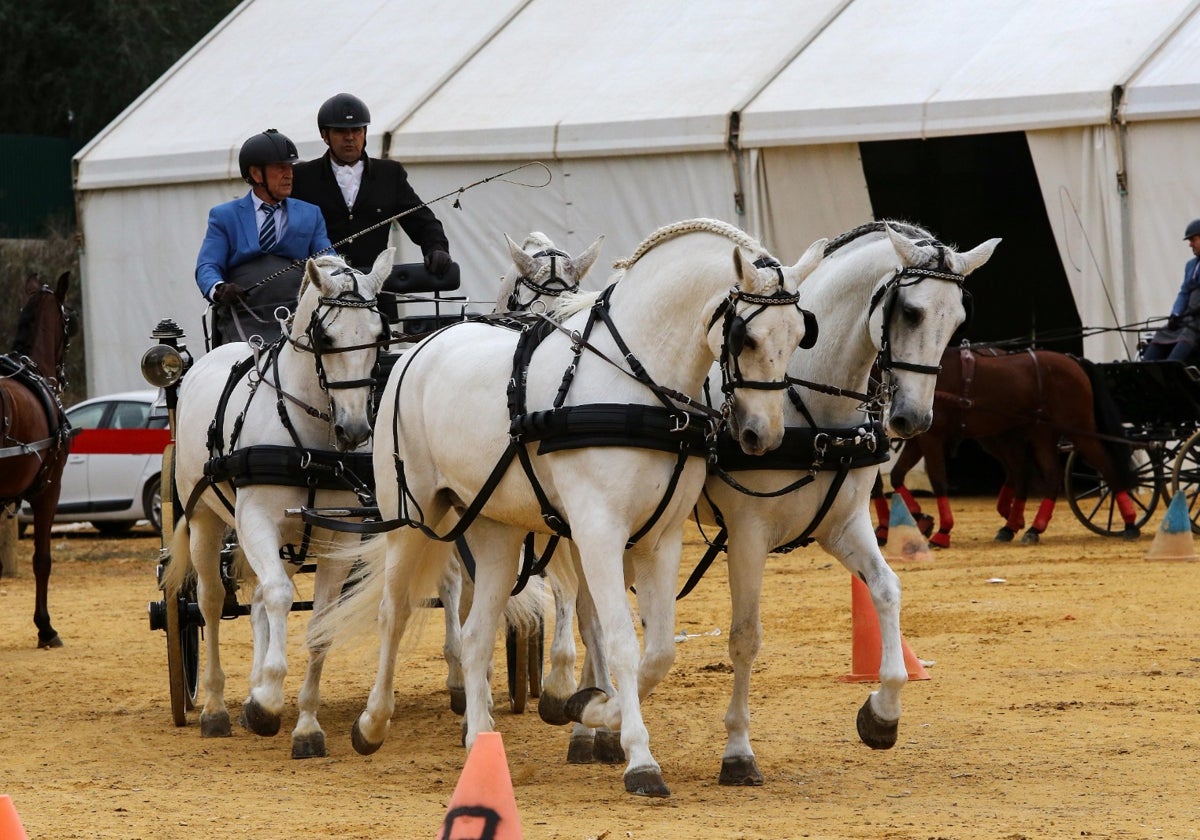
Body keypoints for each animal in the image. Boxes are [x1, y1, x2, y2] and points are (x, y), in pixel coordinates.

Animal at [159, 246, 391, 758]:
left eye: (380, 335)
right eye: (325, 335)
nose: (354, 430)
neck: (310, 441)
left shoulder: (336, 538)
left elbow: (319, 623)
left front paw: (305, 725)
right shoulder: (256, 521)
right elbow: (279, 597)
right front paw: (265, 703)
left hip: (286, 540)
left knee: (265, 596)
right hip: (206, 520)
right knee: (211, 601)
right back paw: (217, 707)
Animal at [314, 219, 830, 796]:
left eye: (800, 334)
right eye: (748, 337)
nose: (763, 435)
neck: (636, 384)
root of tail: (421, 345)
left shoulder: (660, 538)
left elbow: (659, 651)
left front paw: (591, 709)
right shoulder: (598, 532)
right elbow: (621, 642)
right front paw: (639, 759)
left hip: (495, 531)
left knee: (474, 634)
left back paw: (479, 742)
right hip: (411, 518)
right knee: (394, 613)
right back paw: (371, 724)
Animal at [873, 345, 1132, 547]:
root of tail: (1072, 359)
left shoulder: (931, 438)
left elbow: (937, 480)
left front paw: (942, 531)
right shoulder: (918, 439)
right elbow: (896, 476)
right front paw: (921, 518)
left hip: (1077, 429)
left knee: (1106, 466)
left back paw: (1129, 523)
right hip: (1034, 434)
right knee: (1041, 473)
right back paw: (1026, 527)